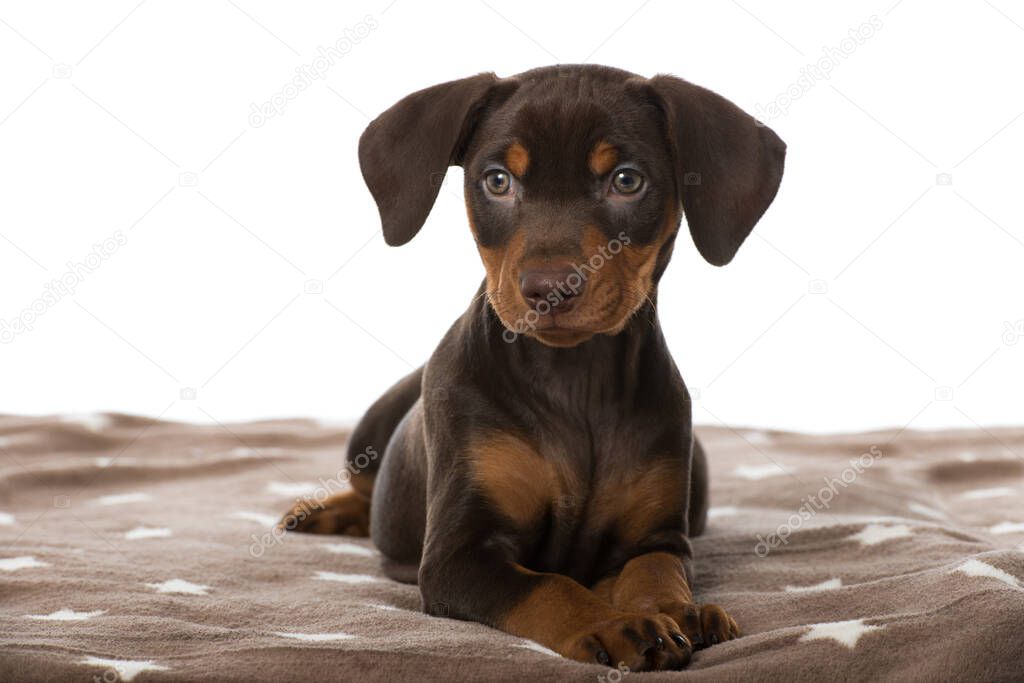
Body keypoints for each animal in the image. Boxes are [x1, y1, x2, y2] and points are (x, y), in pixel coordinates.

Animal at [284, 65, 786, 671]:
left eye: (627, 180)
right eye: (497, 181)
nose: (550, 289)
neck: (575, 378)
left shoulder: (659, 538)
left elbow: (655, 571)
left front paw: (682, 612)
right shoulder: (457, 556)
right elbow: (549, 587)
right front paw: (613, 626)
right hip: (373, 427)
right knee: (363, 486)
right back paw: (321, 513)